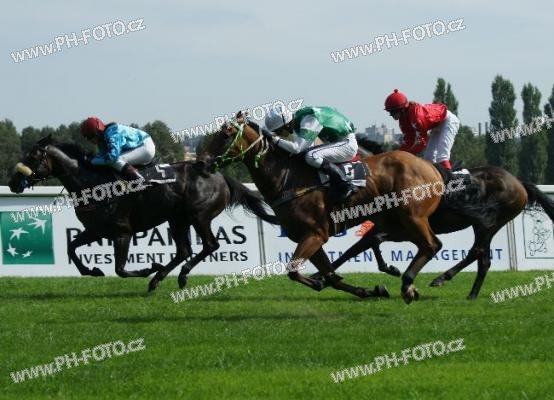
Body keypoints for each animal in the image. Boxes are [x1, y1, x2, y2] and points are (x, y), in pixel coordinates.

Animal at [7, 135, 278, 291]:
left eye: (32, 156)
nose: (12, 182)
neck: (92, 182)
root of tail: (218, 173)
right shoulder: (95, 230)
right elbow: (71, 247)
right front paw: (92, 271)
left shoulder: (122, 232)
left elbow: (120, 269)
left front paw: (148, 267)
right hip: (177, 219)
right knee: (184, 250)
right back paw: (158, 278)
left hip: (198, 216)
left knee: (209, 245)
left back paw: (176, 276)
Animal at [201, 112, 456, 304]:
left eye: (225, 135)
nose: (202, 162)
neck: (286, 179)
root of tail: (430, 167)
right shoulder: (308, 237)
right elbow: (329, 276)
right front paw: (369, 290)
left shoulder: (315, 234)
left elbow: (294, 271)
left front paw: (318, 281)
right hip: (395, 222)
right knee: (417, 244)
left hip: (412, 216)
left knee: (431, 245)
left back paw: (408, 285)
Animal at [309, 137, 554, 299]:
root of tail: (520, 183)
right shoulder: (393, 228)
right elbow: (360, 246)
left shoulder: (400, 228)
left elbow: (360, 246)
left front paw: (321, 276)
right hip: (485, 224)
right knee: (482, 257)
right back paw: (466, 290)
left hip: (488, 224)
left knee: (478, 253)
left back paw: (447, 281)